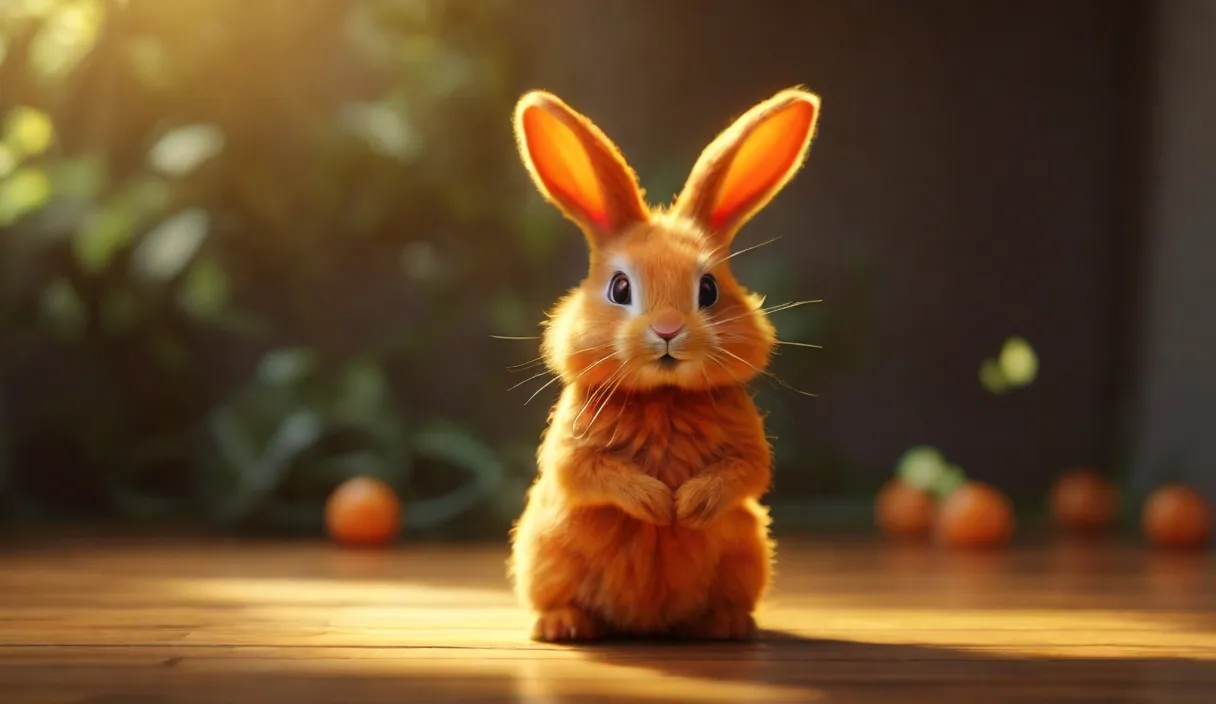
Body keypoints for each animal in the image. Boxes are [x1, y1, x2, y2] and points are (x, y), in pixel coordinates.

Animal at [503, 85, 826, 641]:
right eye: (620, 288)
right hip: (546, 550)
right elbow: (586, 472)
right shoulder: (572, 448)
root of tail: (646, 624)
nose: (669, 330)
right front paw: (657, 504)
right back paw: (563, 626)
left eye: (709, 289)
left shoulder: (747, 450)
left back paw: (727, 624)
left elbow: (746, 472)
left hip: (747, 550)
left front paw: (689, 506)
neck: (664, 397)